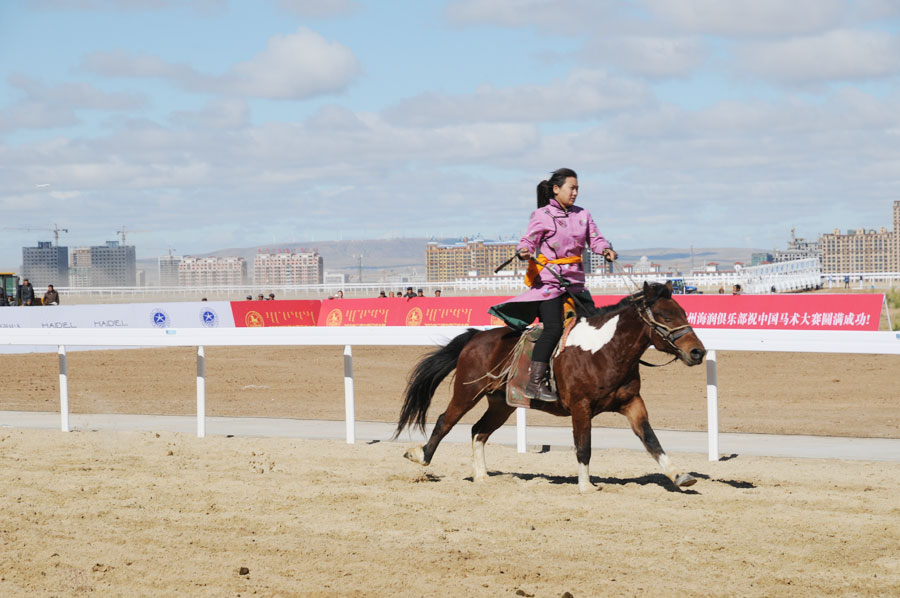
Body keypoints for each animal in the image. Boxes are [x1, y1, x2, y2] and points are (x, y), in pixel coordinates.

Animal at [398, 282, 708, 492]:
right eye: (665, 316)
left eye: (683, 312)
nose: (697, 352)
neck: (605, 351)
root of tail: (475, 337)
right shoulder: (581, 407)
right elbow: (583, 446)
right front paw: (586, 486)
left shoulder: (632, 403)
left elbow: (651, 439)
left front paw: (679, 475)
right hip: (467, 392)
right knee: (444, 421)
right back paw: (420, 455)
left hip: (502, 404)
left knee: (478, 431)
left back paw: (482, 475)